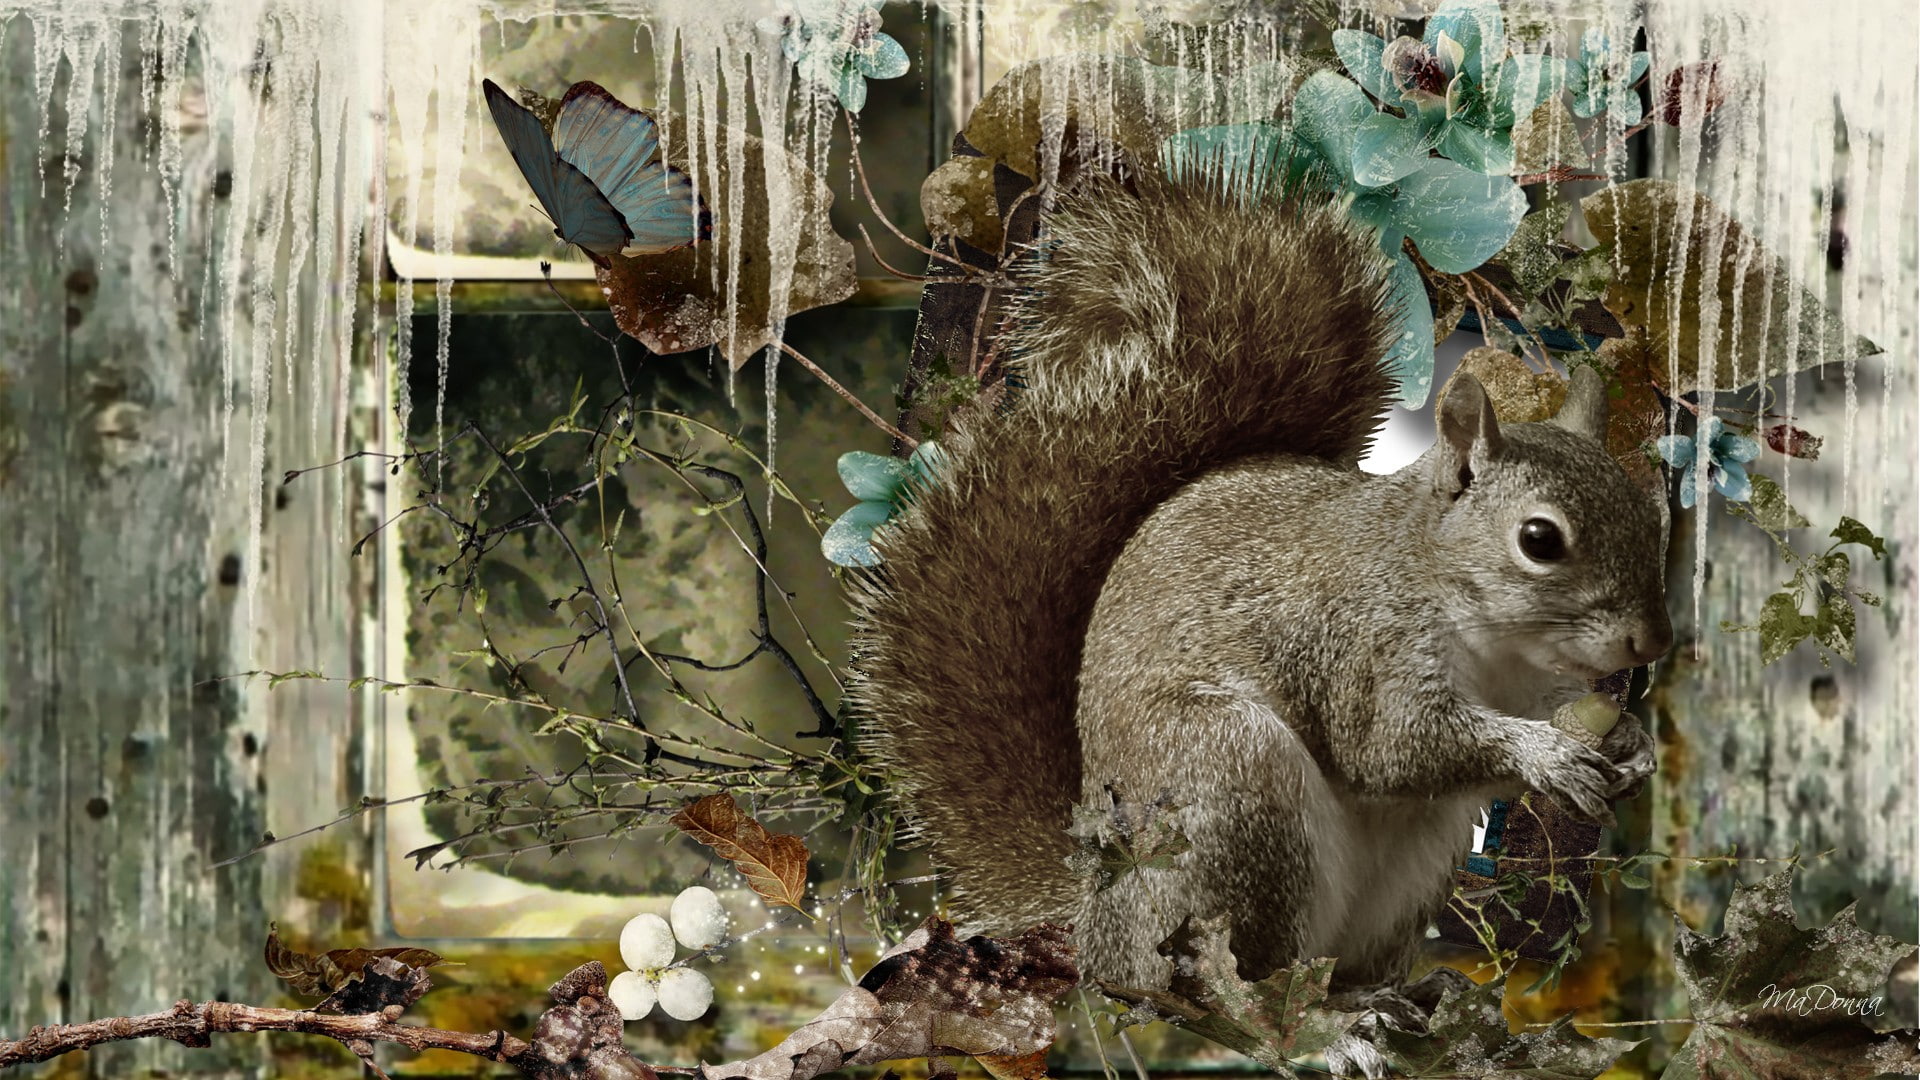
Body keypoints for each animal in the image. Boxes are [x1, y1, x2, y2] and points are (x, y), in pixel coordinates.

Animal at [847, 174, 1671, 997]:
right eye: (1539, 540)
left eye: (1649, 516)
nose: (1653, 641)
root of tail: (1095, 917)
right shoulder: (1363, 646)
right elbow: (1391, 746)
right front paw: (1546, 756)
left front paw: (1629, 746)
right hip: (1233, 782)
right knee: (1233, 975)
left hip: (1407, 864)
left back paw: (1395, 996)